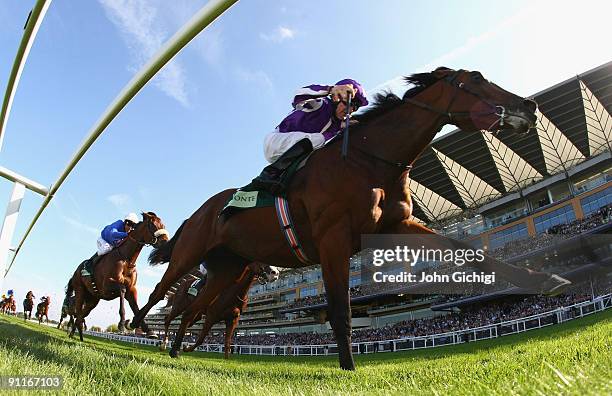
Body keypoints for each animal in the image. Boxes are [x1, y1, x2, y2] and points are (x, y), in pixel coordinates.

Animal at [66, 212, 170, 342]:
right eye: (152, 225)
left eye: (163, 225)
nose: (166, 242)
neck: (127, 260)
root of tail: (76, 271)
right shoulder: (106, 287)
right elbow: (122, 289)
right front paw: (121, 323)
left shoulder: (132, 289)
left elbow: (136, 308)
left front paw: (149, 331)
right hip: (80, 291)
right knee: (78, 313)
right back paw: (74, 335)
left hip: (93, 299)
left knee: (81, 315)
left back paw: (78, 336)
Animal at [131, 67, 572, 368]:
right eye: (476, 79)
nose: (528, 106)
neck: (369, 160)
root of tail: (202, 210)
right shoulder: (333, 238)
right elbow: (340, 308)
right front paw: (348, 366)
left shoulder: (396, 226)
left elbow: (469, 251)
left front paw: (546, 280)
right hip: (190, 255)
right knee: (160, 294)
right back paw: (138, 328)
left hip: (228, 268)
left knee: (193, 310)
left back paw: (174, 350)